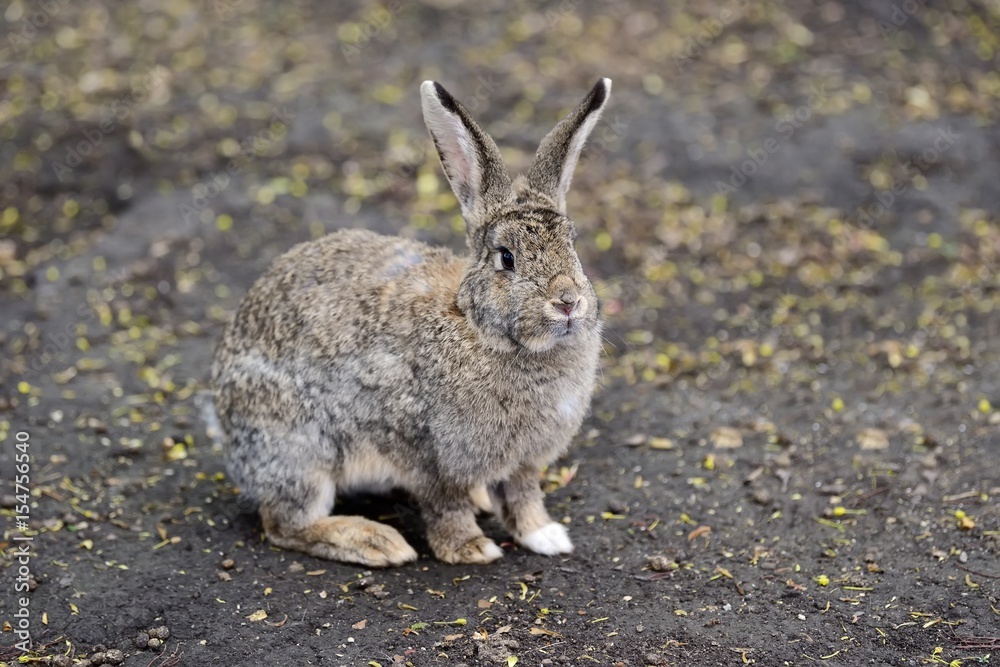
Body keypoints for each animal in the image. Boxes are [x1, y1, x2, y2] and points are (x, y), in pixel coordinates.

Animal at [211, 78, 608, 568]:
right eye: (506, 258)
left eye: (573, 246)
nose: (568, 302)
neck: (481, 330)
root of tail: (223, 419)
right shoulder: (428, 452)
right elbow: (445, 504)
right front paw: (470, 548)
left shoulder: (523, 462)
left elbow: (523, 496)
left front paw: (545, 536)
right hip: (300, 449)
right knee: (284, 523)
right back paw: (375, 542)